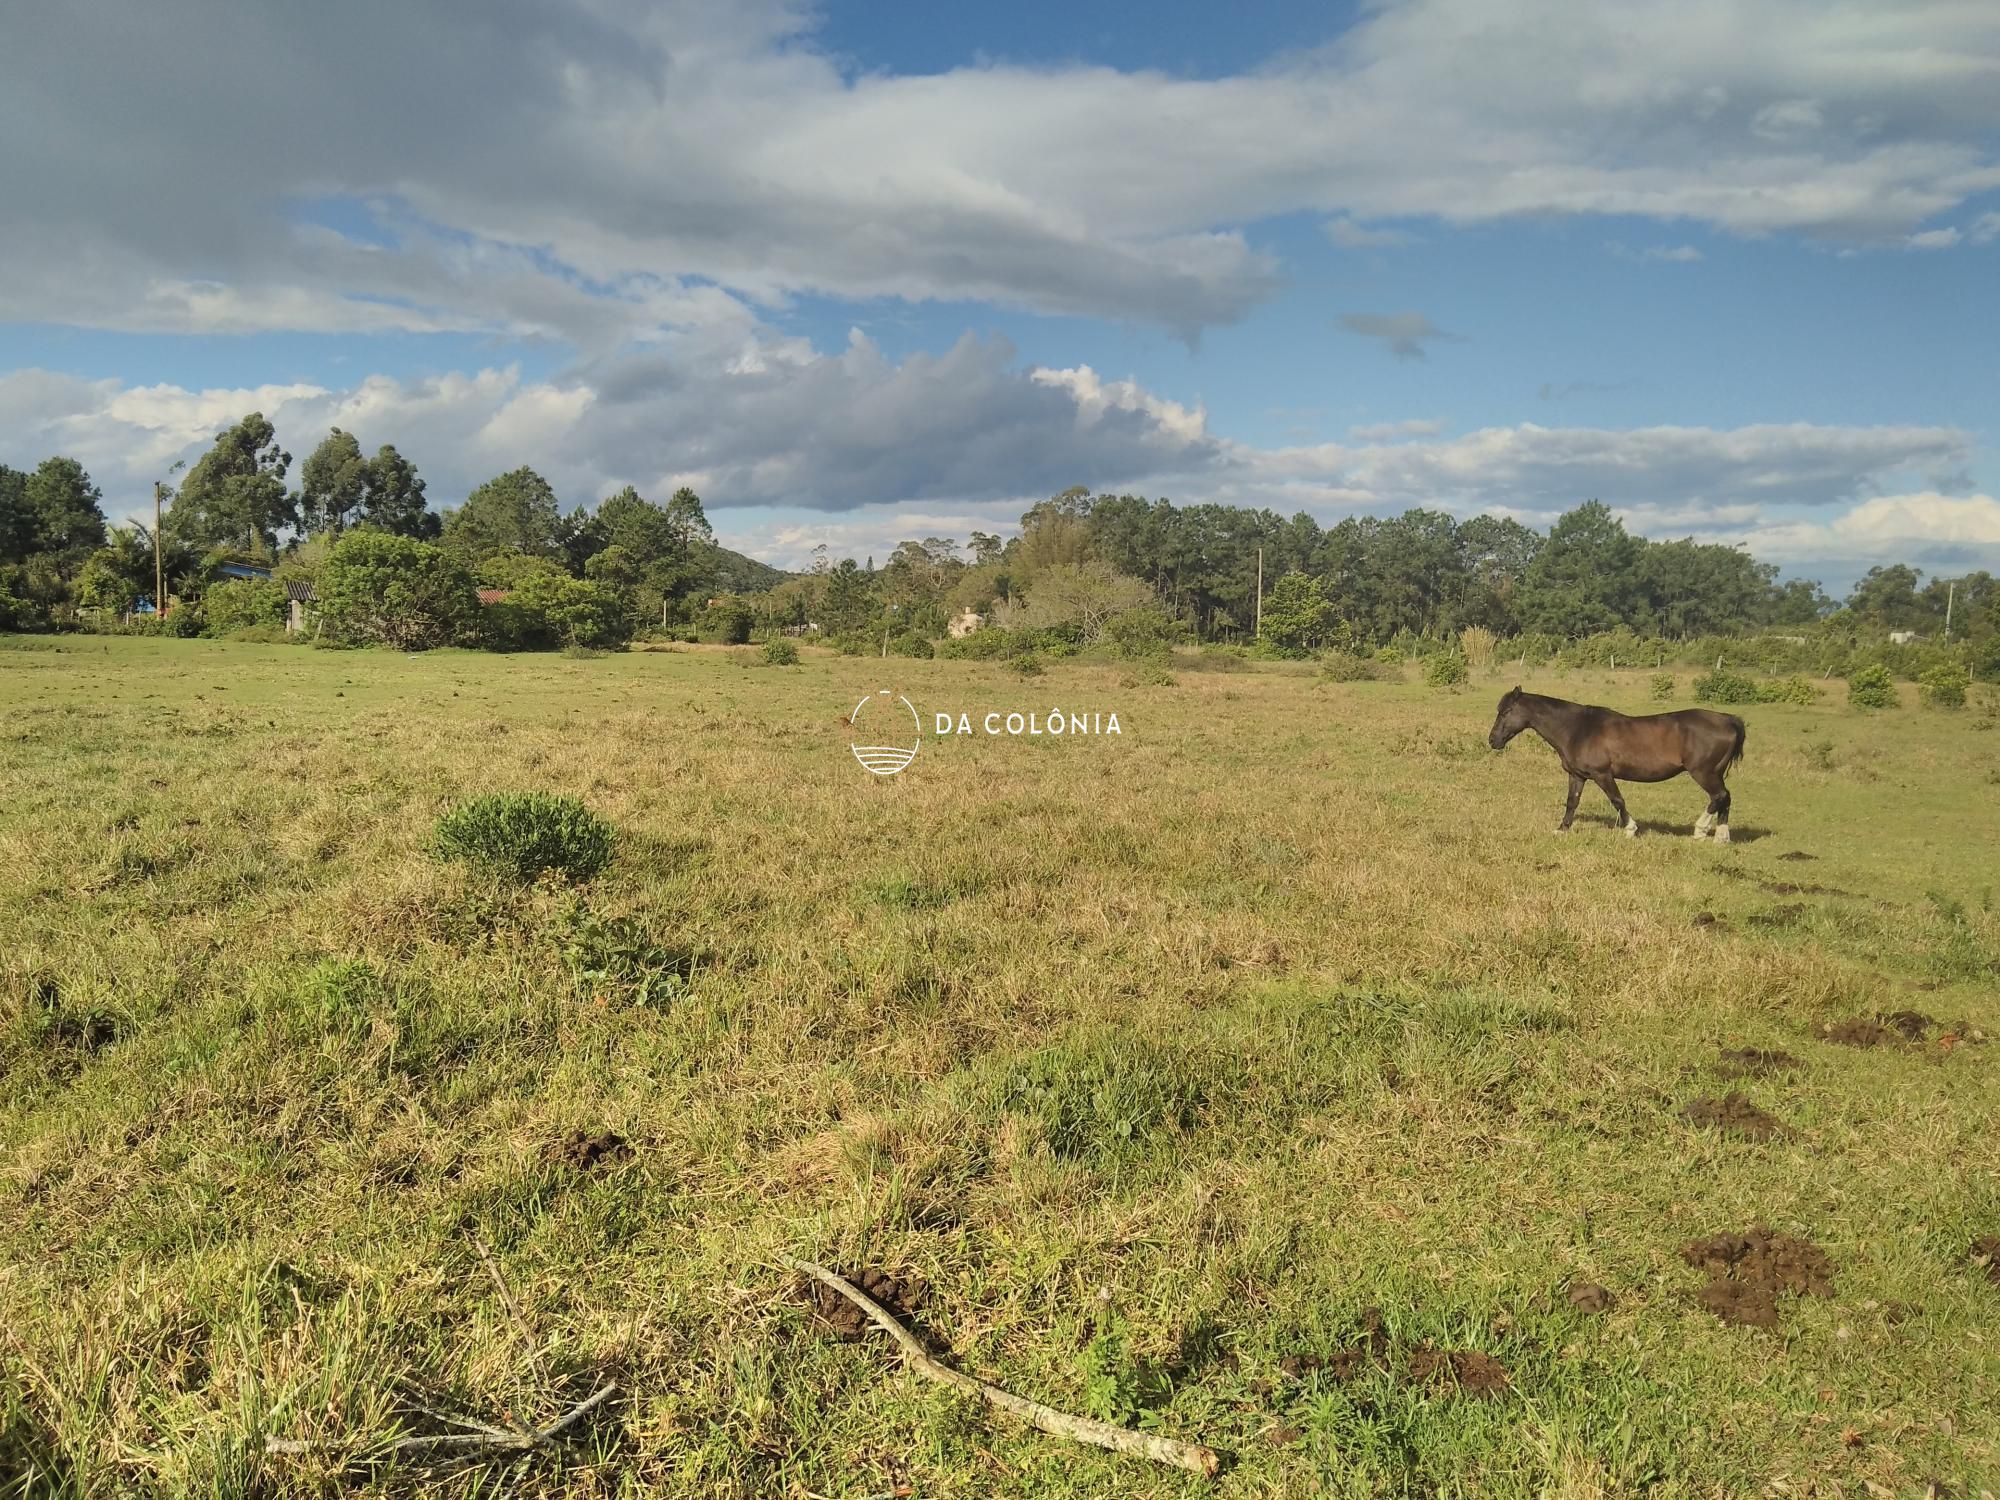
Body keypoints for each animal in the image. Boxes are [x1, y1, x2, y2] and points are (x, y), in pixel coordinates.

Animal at [1488, 692, 1752, 848]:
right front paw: (1562, 829)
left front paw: (1630, 829)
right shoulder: (1577, 775)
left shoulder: (1602, 774)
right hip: (1714, 773)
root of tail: (1728, 720)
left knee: (1719, 796)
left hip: (1704, 773)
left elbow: (1617, 800)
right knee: (1725, 798)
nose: (1493, 740)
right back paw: (1721, 837)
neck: (1578, 728)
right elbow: (1572, 802)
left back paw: (1700, 831)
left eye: (1506, 711)